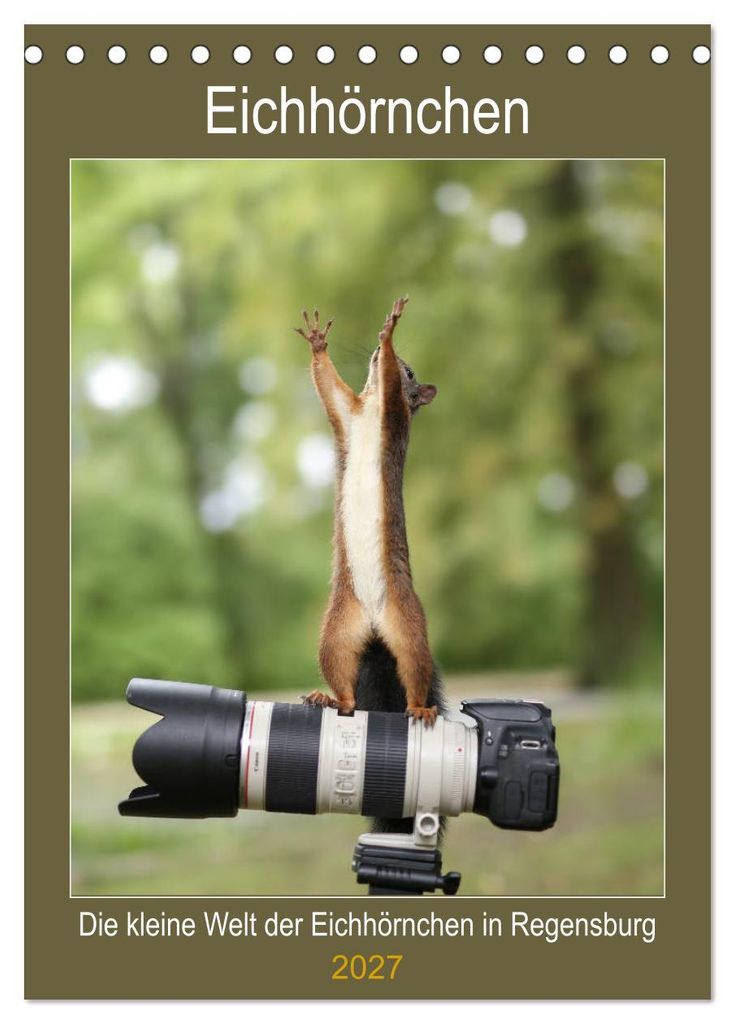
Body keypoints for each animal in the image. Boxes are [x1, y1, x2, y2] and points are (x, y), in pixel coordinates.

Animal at [296, 298, 447, 831]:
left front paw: (388, 332)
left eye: (412, 372)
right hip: (336, 634)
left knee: (415, 670)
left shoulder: (393, 414)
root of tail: (377, 626)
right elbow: (328, 386)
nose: (384, 359)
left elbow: (389, 393)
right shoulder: (348, 412)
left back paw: (420, 709)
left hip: (410, 628)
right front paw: (319, 343)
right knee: (346, 689)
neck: (371, 409)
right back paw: (329, 698)